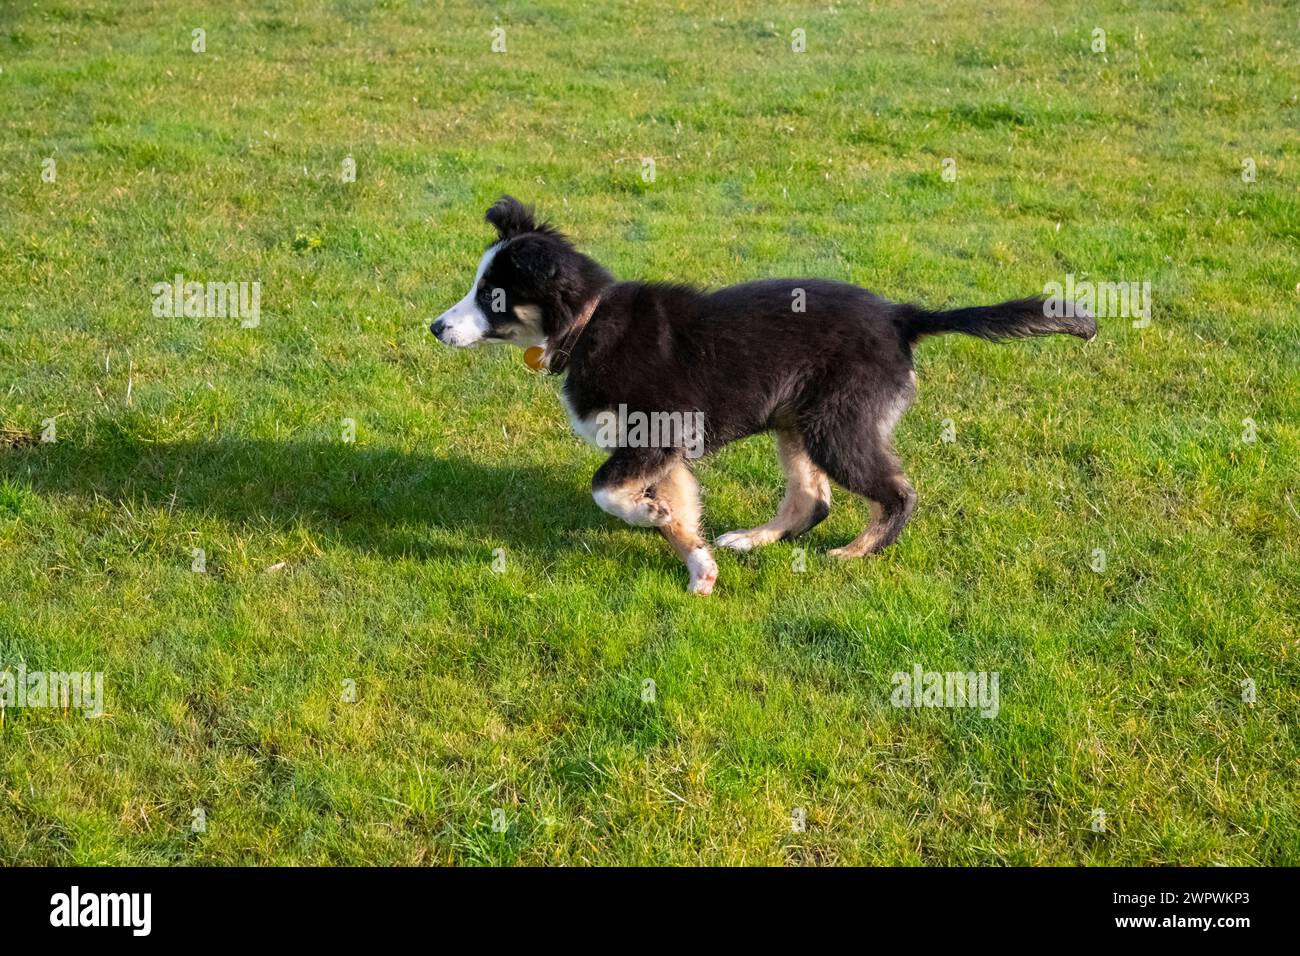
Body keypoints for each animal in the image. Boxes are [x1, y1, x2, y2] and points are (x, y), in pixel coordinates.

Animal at [431, 197, 1092, 595]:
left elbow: (604, 490)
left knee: (898, 493)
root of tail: (902, 317)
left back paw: (855, 553)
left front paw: (648, 516)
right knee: (811, 500)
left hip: (837, 423)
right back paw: (752, 540)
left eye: (492, 297)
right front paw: (699, 566)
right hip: (796, 418)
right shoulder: (665, 452)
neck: (588, 321)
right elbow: (681, 517)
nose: (435, 328)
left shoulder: (656, 434)